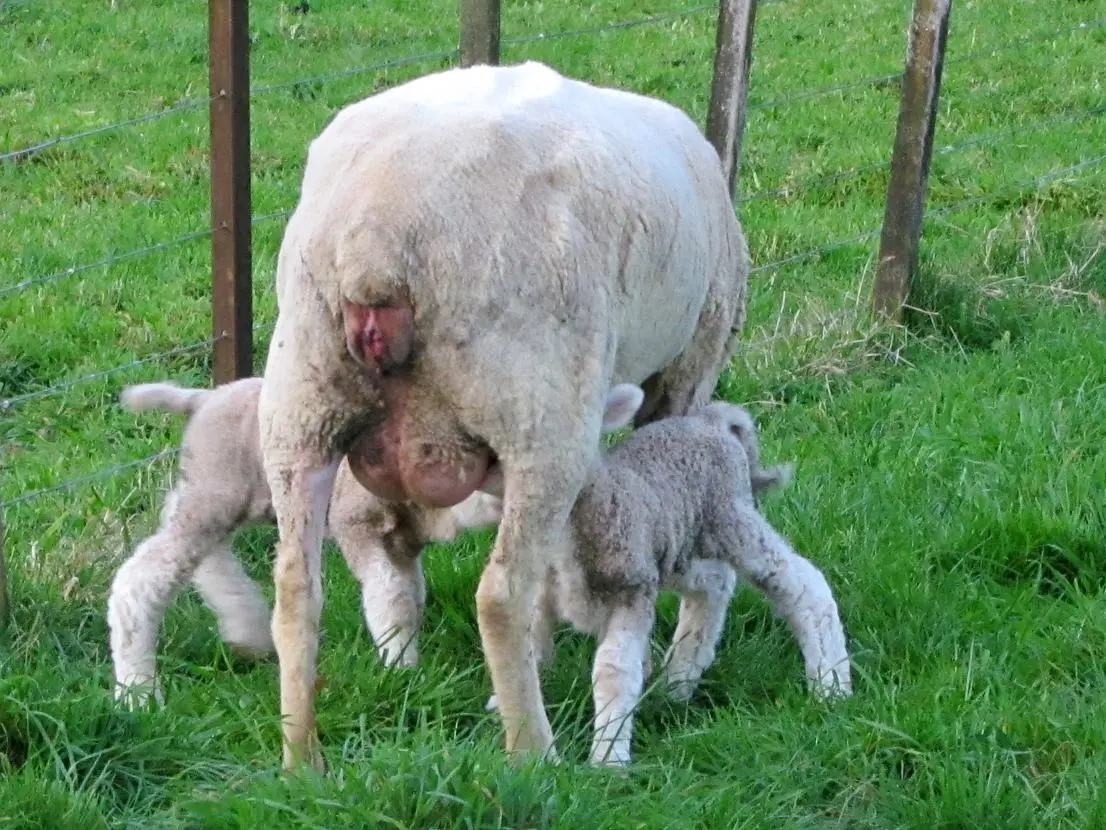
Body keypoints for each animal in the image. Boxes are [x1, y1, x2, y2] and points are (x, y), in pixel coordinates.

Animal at [107, 378, 503, 707]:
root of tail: (204, 398)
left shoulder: (405, 543)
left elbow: (411, 595)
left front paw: (403, 657)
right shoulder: (355, 523)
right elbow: (390, 594)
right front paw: (401, 667)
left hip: (218, 493)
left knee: (181, 527)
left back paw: (246, 629)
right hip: (218, 490)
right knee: (142, 578)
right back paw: (137, 691)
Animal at [258, 59, 750, 770]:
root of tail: (377, 241)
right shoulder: (689, 366)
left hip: (299, 401)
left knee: (296, 589)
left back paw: (303, 760)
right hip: (540, 413)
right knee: (499, 596)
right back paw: (533, 753)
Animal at [487, 386, 851, 767]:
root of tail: (710, 420)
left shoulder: (632, 592)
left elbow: (614, 672)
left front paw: (608, 759)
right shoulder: (547, 592)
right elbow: (532, 643)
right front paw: (508, 704)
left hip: (730, 516)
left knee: (802, 585)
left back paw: (831, 686)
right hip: (678, 546)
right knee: (715, 583)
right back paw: (680, 678)